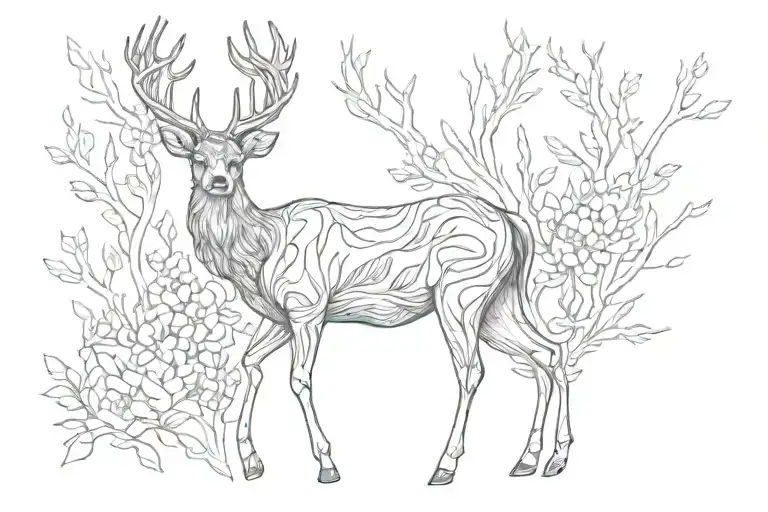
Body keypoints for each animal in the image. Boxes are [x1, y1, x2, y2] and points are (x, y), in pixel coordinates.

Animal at [125, 18, 574, 485]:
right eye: (197, 158)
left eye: (236, 160)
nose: (218, 181)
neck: (261, 249)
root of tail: (512, 222)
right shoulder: (278, 315)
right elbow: (248, 363)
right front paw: (250, 462)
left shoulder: (307, 302)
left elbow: (299, 378)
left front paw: (326, 464)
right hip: (499, 299)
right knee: (547, 352)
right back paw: (538, 460)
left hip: (462, 288)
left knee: (473, 370)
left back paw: (446, 465)